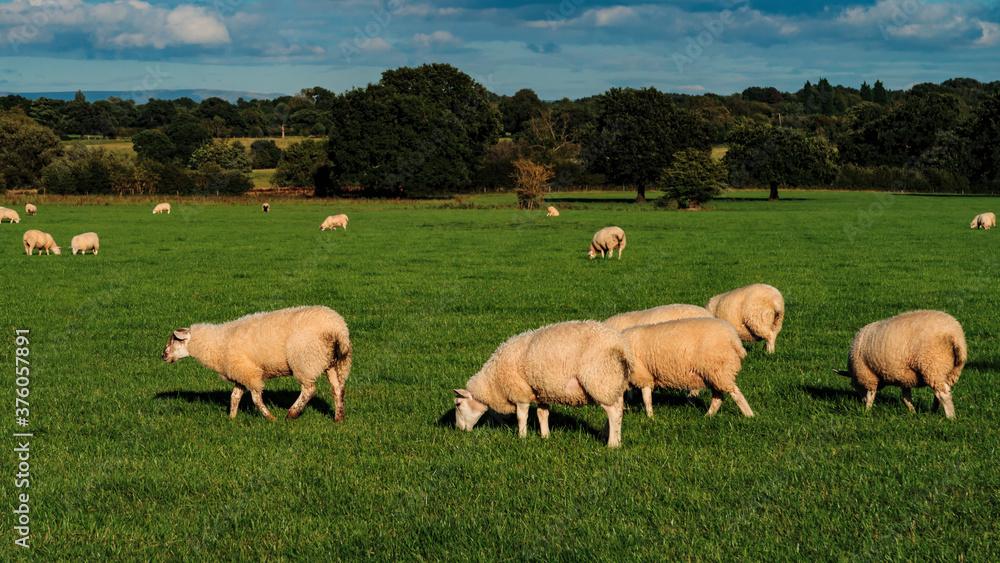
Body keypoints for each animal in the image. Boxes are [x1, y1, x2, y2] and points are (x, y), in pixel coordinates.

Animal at [162, 306, 354, 420]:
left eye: (175, 339)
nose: (163, 355)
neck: (217, 342)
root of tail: (339, 329)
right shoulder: (241, 371)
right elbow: (234, 397)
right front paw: (232, 418)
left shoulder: (249, 372)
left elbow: (255, 398)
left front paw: (270, 418)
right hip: (332, 362)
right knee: (338, 389)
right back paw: (339, 417)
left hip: (304, 359)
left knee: (309, 389)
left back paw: (291, 414)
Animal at [454, 322, 632, 450]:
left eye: (458, 404)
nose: (459, 429)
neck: (493, 383)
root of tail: (622, 345)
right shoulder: (542, 392)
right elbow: (542, 414)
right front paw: (545, 436)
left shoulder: (521, 393)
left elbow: (521, 417)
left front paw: (522, 438)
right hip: (614, 381)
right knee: (618, 409)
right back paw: (611, 436)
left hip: (599, 379)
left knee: (613, 412)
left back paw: (612, 444)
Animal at [620, 318, 752, 418]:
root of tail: (734, 339)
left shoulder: (643, 374)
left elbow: (646, 398)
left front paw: (650, 416)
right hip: (713, 374)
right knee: (718, 397)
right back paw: (708, 416)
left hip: (719, 369)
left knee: (735, 393)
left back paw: (749, 415)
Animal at [836, 308, 968, 418]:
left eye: (853, 385)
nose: (861, 401)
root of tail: (954, 334)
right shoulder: (904, 378)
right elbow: (906, 397)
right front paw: (912, 412)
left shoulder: (868, 375)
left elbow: (871, 395)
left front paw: (867, 411)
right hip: (951, 369)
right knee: (938, 393)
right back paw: (933, 412)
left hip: (933, 365)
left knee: (944, 393)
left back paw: (950, 417)